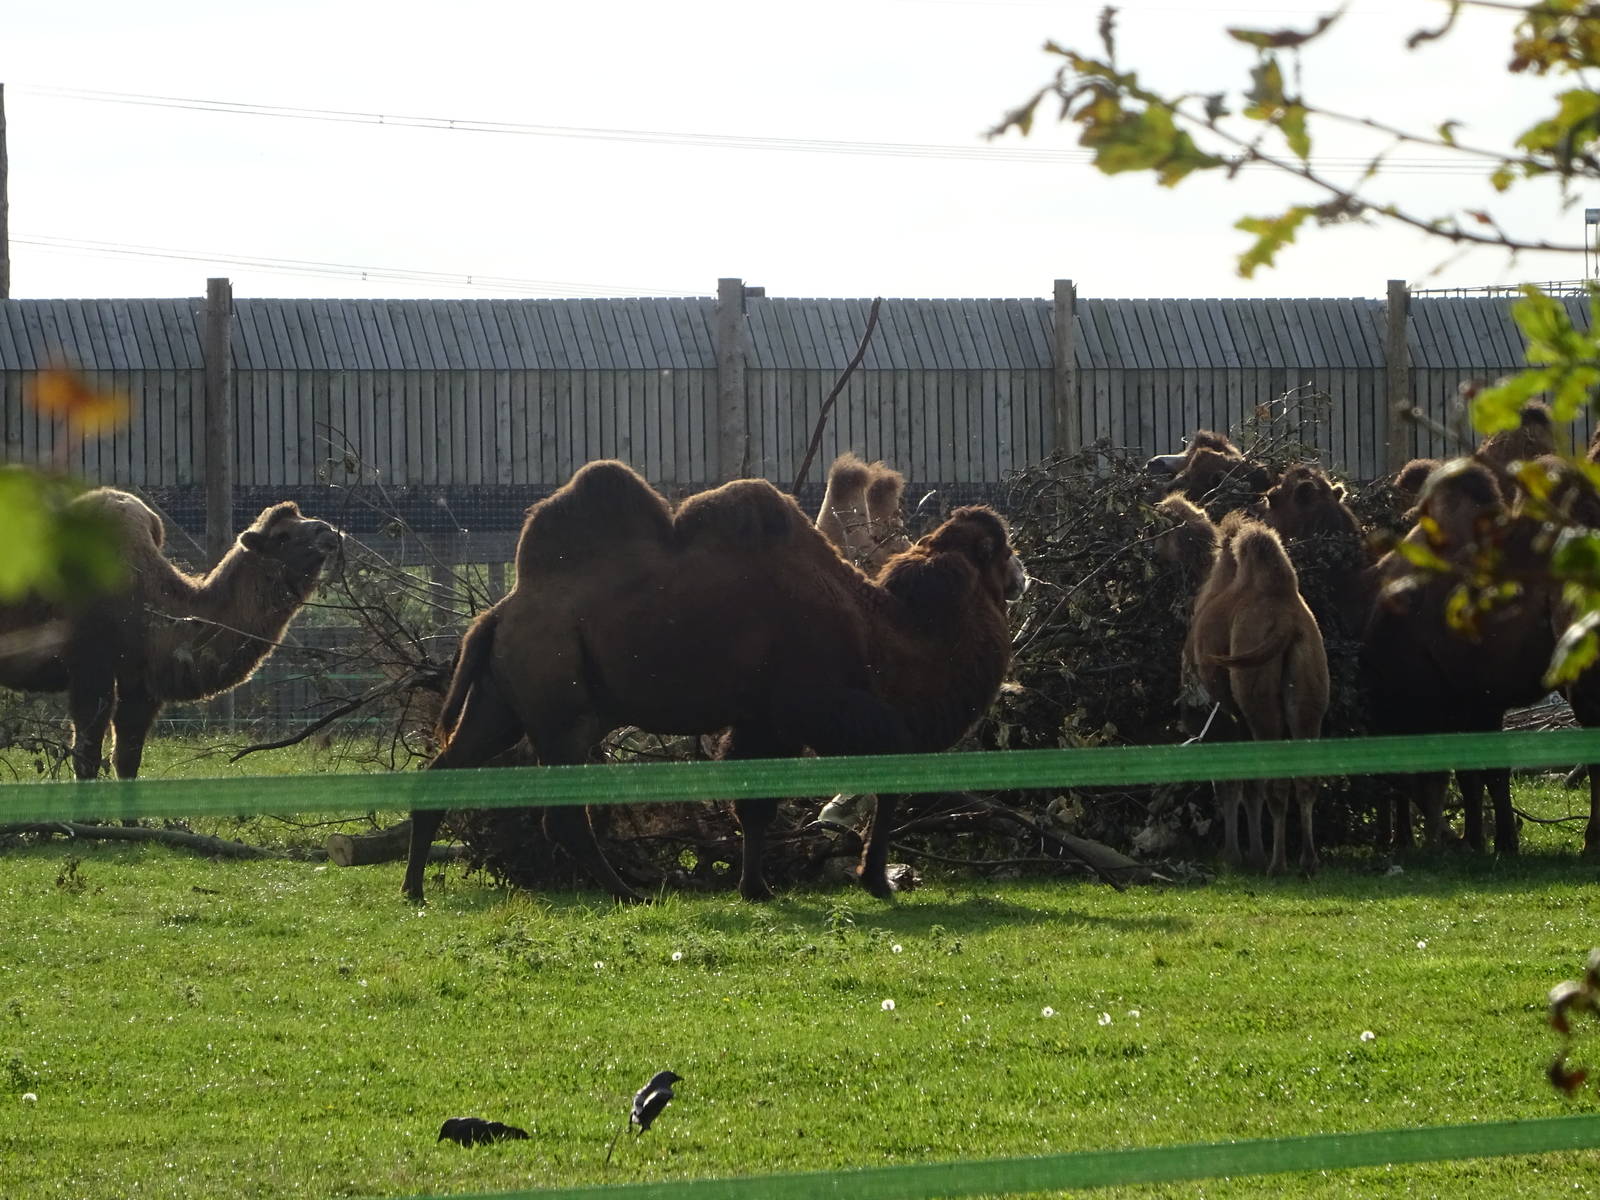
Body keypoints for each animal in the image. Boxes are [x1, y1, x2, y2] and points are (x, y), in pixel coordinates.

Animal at [0, 488, 342, 780]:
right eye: (283, 536)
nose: (328, 531)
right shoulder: (90, 665)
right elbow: (87, 758)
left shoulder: (141, 680)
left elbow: (127, 759)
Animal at [403, 459, 1025, 904]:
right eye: (1000, 550)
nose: (1021, 575)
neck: (886, 634)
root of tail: (498, 613)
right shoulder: (820, 706)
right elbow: (885, 772)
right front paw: (876, 880)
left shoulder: (761, 719)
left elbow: (753, 804)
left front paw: (756, 888)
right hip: (562, 710)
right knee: (564, 813)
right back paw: (629, 892)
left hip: (503, 702)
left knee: (446, 772)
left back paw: (414, 889)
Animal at [1185, 513, 1329, 874]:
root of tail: (1287, 622)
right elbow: (1250, 785)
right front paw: (1250, 853)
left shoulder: (1223, 720)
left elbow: (1232, 783)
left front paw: (1236, 855)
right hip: (1310, 695)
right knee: (1305, 779)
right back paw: (1307, 860)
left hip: (1258, 703)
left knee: (1271, 780)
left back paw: (1276, 864)